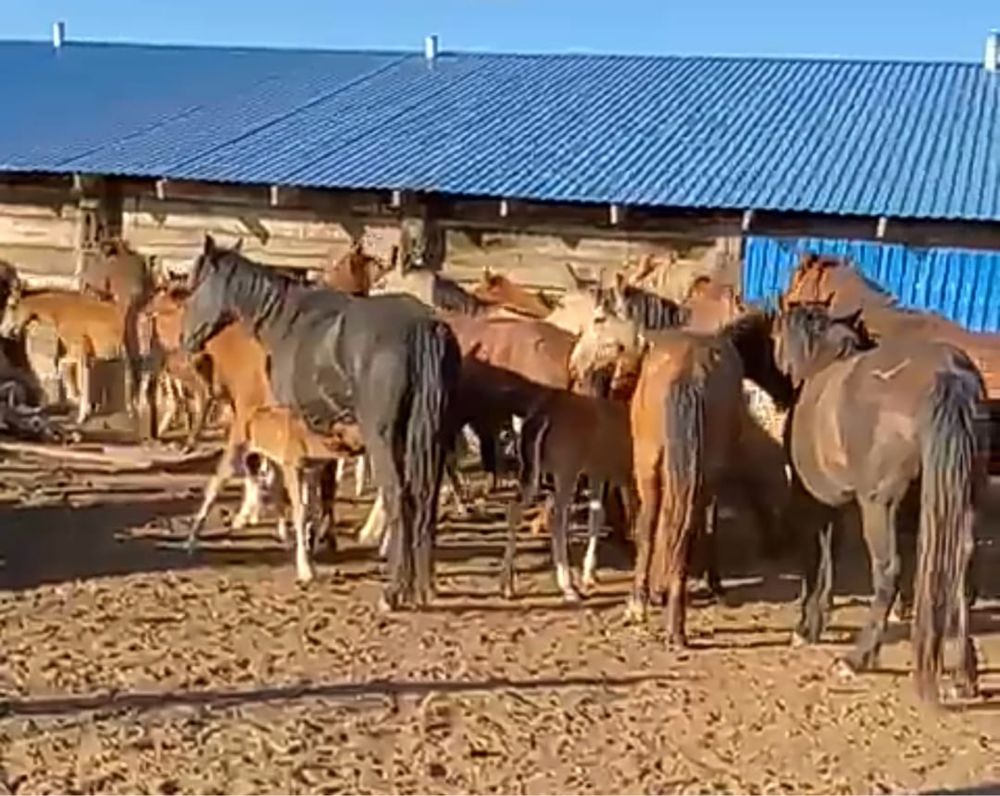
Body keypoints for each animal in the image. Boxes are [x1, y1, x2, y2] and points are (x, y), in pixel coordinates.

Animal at [772, 302, 984, 700]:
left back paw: (856, 659)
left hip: (878, 507)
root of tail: (947, 373)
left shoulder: (818, 503)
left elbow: (818, 561)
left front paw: (807, 625)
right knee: (960, 569)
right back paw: (964, 676)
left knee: (888, 572)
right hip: (961, 500)